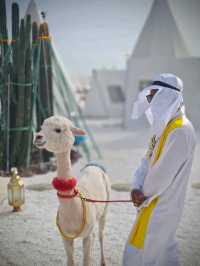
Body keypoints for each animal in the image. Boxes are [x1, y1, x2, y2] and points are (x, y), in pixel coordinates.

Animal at [33, 116, 110, 266]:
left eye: (58, 129)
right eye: (41, 127)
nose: (38, 136)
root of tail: (94, 165)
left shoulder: (88, 235)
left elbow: (86, 260)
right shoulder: (65, 236)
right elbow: (70, 260)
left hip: (105, 208)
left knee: (101, 234)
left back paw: (103, 261)